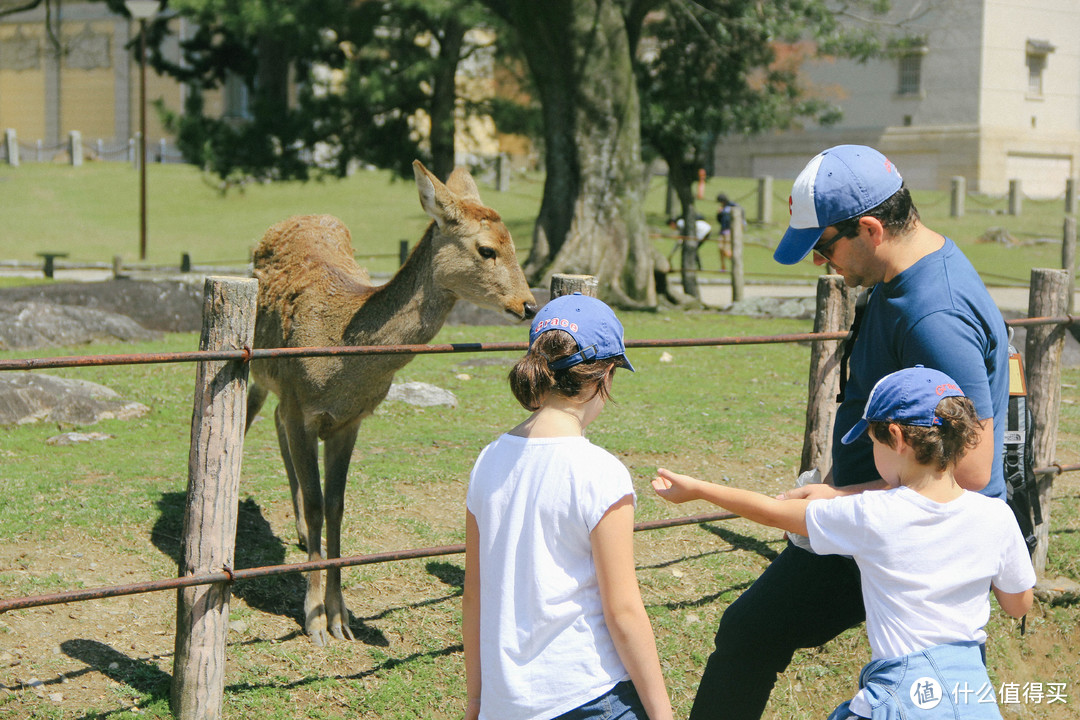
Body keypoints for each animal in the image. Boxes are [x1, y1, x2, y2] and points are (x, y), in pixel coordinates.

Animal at [243, 161, 533, 647]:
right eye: (488, 249)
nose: (529, 304)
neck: (340, 358)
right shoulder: (303, 408)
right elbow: (319, 503)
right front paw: (314, 620)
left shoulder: (350, 420)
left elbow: (337, 505)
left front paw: (341, 618)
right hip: (255, 369)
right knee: (251, 418)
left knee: (276, 427)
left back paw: (298, 535)